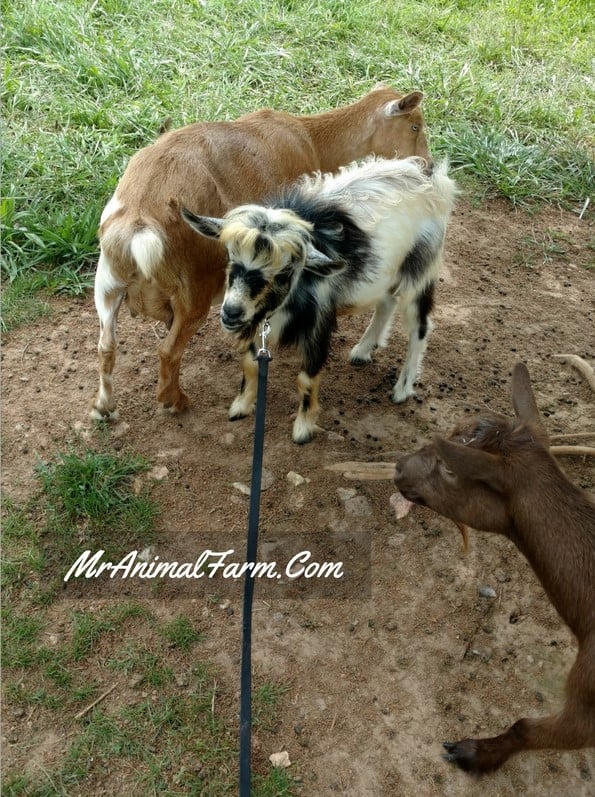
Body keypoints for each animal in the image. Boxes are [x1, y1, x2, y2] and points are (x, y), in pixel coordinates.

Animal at [91, 86, 430, 420]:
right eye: (414, 126)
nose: (425, 166)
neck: (312, 139)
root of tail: (138, 220)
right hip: (193, 290)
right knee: (168, 350)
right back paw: (176, 401)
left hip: (107, 284)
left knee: (106, 346)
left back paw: (104, 408)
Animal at [182, 155, 456, 442]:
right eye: (230, 257)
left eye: (285, 272)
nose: (231, 312)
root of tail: (430, 177)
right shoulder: (258, 321)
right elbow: (249, 364)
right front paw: (241, 406)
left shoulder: (318, 324)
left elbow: (306, 378)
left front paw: (302, 429)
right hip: (385, 273)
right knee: (386, 302)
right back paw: (363, 350)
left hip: (420, 272)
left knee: (419, 327)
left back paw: (403, 388)